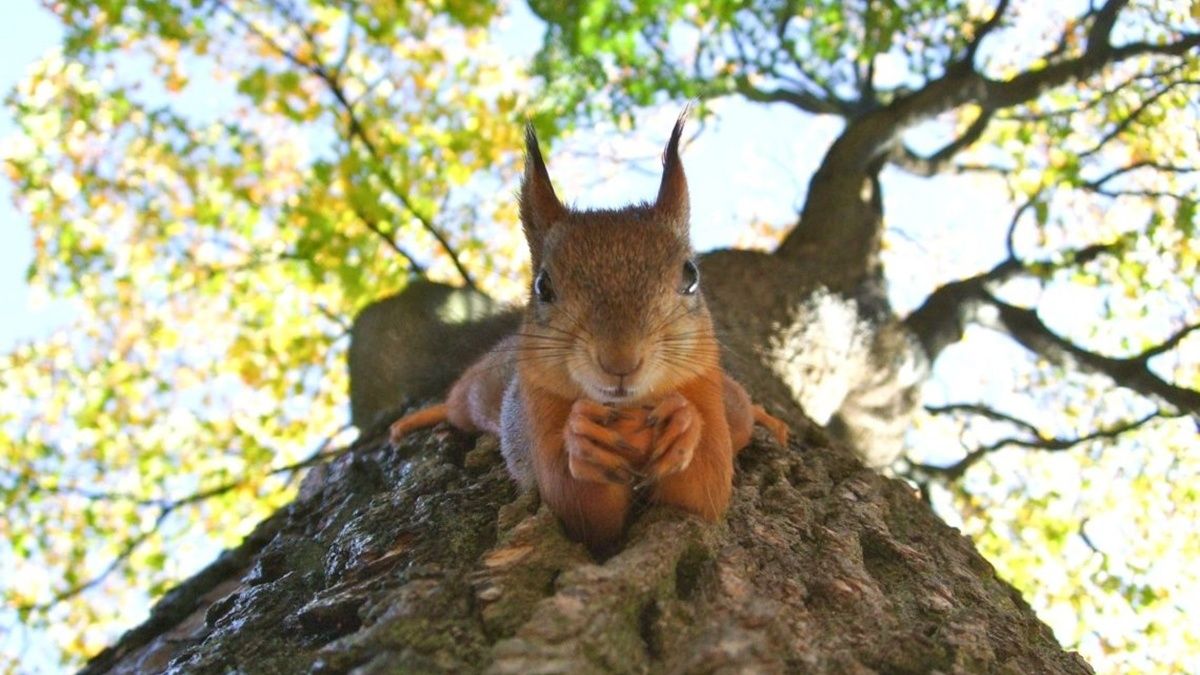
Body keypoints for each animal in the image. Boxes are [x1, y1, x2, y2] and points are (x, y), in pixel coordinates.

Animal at [388, 112, 792, 550]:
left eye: (691, 276)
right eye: (543, 286)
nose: (620, 361)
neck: (628, 412)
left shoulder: (704, 389)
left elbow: (705, 491)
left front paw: (683, 424)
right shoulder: (538, 410)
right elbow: (581, 509)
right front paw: (582, 440)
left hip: (730, 402)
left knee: (743, 409)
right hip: (479, 393)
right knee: (456, 404)